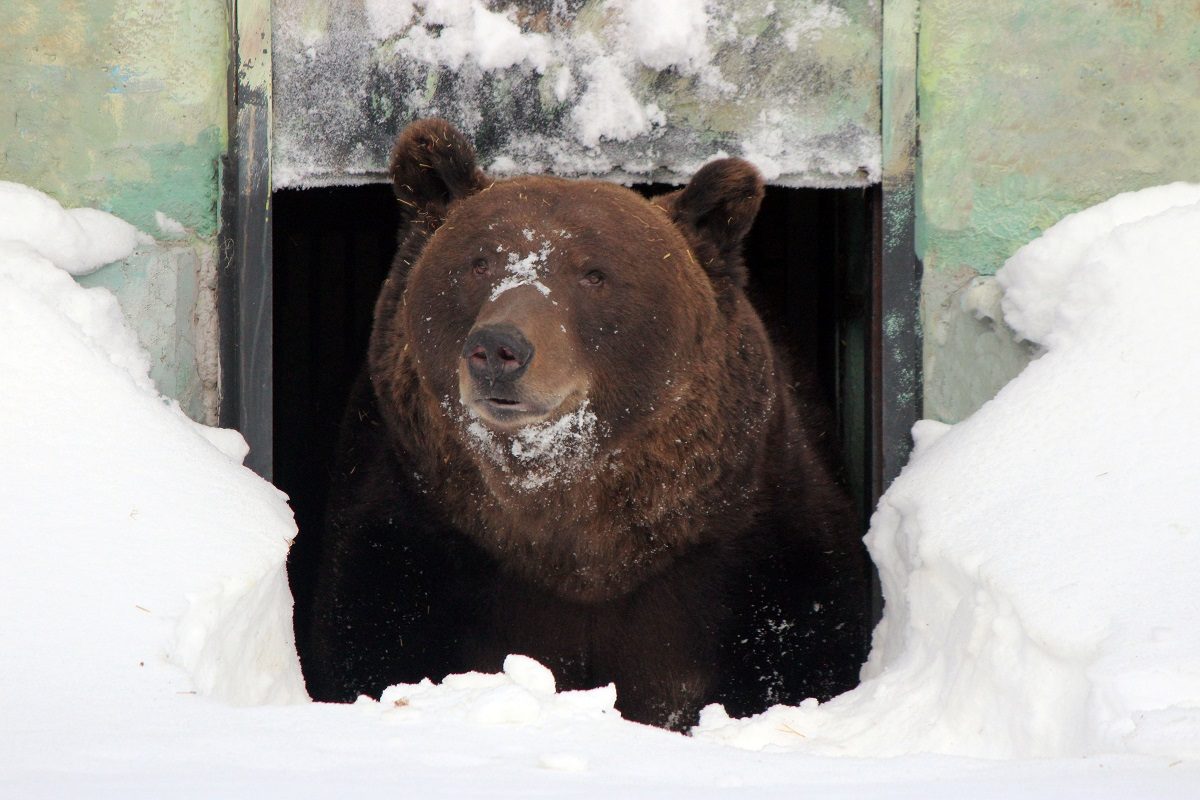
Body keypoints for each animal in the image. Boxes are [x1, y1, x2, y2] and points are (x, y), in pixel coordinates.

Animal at [307, 120, 873, 734]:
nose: (498, 347)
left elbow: (800, 642)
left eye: (594, 273)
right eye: (479, 262)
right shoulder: (411, 532)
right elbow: (371, 639)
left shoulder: (753, 540)